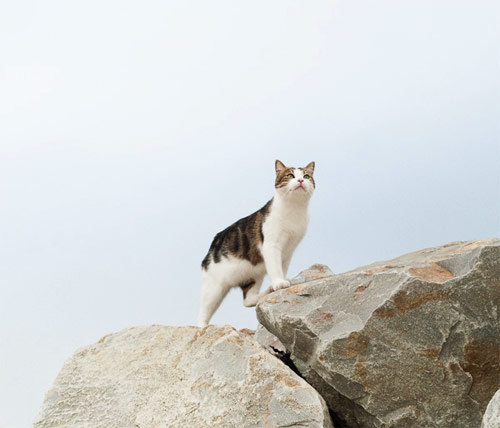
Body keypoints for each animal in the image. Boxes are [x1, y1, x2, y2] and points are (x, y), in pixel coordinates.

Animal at [197, 159, 315, 327]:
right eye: (290, 175)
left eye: (306, 176)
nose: (300, 180)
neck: (294, 209)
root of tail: (210, 249)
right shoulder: (271, 245)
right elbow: (274, 267)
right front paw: (279, 283)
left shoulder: (288, 251)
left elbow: (282, 268)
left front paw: (281, 282)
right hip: (213, 288)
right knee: (202, 313)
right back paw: (202, 326)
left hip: (254, 277)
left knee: (248, 300)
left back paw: (266, 292)